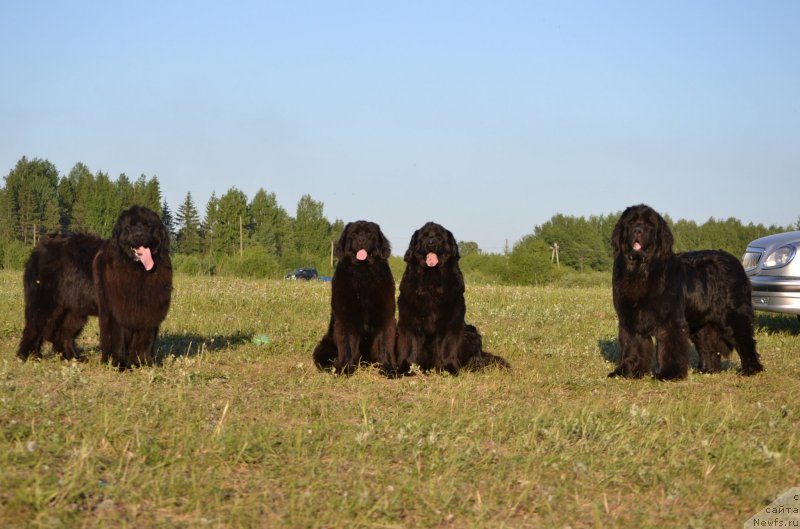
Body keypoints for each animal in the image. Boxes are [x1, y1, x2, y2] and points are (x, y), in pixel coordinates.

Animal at [16, 204, 172, 370]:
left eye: (148, 225)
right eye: (129, 227)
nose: (138, 235)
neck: (137, 270)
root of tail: (40, 245)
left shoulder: (148, 310)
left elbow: (144, 339)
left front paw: (143, 363)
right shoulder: (113, 310)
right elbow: (116, 338)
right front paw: (117, 363)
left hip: (74, 308)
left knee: (64, 333)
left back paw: (72, 357)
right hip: (44, 302)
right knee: (34, 327)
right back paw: (28, 356)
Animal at [314, 221, 398, 374]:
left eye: (369, 234)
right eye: (354, 234)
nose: (361, 240)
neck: (363, 273)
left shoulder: (385, 316)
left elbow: (385, 344)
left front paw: (389, 368)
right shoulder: (346, 317)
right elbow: (347, 345)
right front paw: (345, 368)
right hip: (324, 346)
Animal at [396, 221, 510, 374]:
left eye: (439, 237)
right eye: (424, 236)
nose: (431, 243)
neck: (431, 279)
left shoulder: (452, 318)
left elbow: (447, 345)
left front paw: (448, 368)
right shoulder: (409, 319)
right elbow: (410, 346)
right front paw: (406, 368)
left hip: (471, 333)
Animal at [612, 203, 764, 380]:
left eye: (649, 225)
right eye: (631, 222)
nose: (637, 230)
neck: (640, 270)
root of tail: (735, 261)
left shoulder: (670, 320)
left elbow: (669, 347)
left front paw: (669, 374)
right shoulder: (630, 318)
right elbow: (631, 345)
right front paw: (626, 372)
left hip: (734, 315)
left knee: (745, 340)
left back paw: (751, 369)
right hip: (701, 322)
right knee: (707, 345)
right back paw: (708, 369)